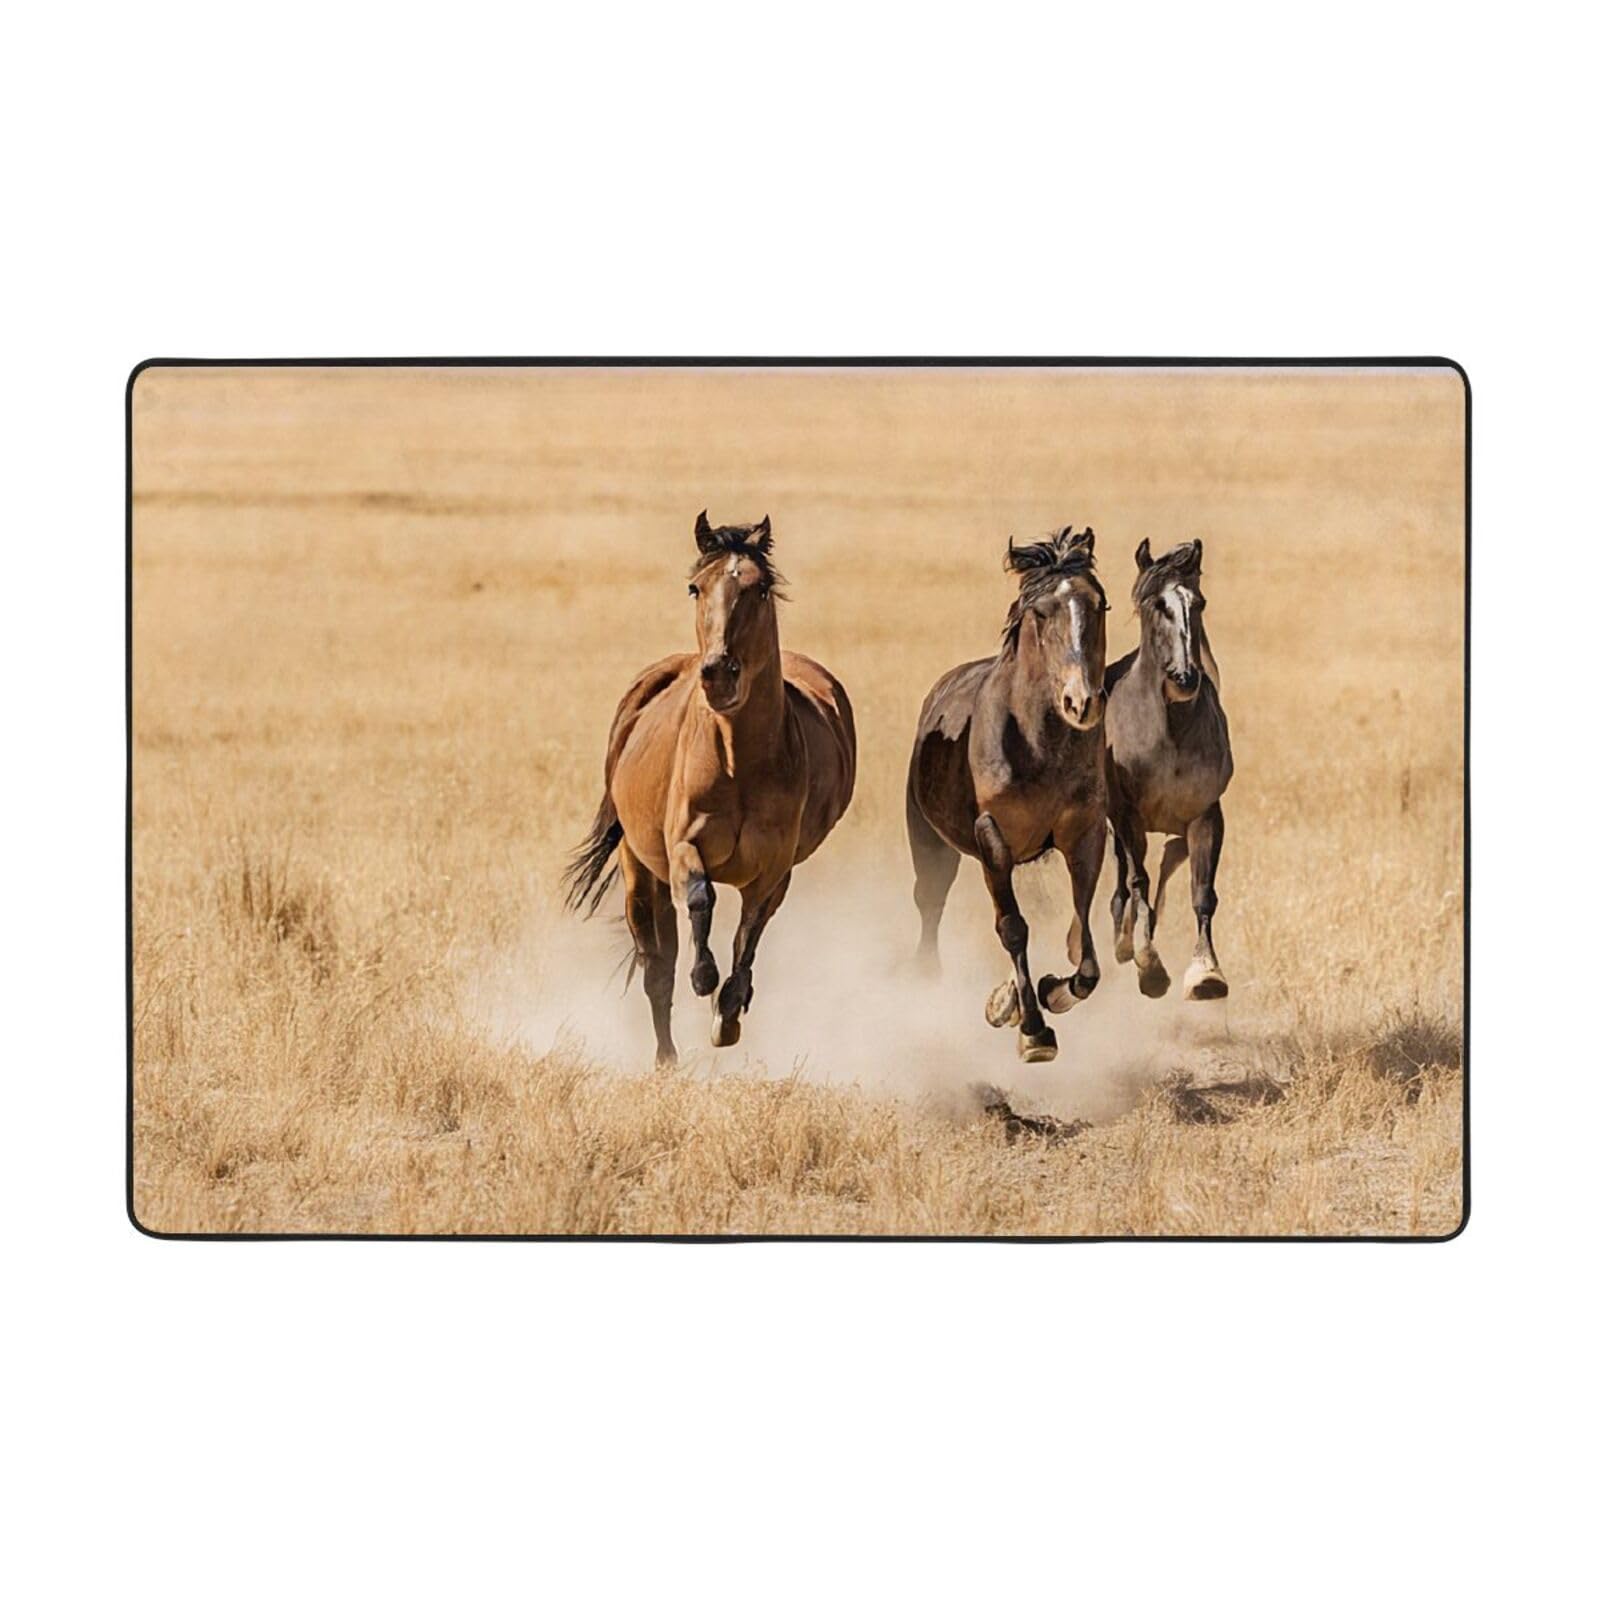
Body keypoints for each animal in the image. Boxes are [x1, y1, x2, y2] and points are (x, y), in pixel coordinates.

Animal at [562, 512, 856, 1065]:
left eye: (759, 588)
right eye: (695, 587)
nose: (719, 674)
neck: (738, 762)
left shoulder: (774, 868)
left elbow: (750, 931)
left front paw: (729, 1013)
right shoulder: (683, 848)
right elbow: (700, 899)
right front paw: (705, 978)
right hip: (640, 871)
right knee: (656, 965)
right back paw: (666, 1058)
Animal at [905, 527, 1110, 1064]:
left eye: (1099, 604)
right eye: (1041, 612)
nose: (1082, 702)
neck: (1039, 743)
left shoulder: (1085, 832)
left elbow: (1083, 943)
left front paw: (1050, 993)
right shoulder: (991, 837)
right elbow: (1013, 926)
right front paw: (1033, 1030)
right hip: (929, 840)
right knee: (929, 901)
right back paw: (929, 980)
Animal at [1104, 537, 1234, 1001]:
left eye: (1198, 603)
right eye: (1155, 604)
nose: (1184, 678)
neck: (1170, 732)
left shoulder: (1206, 815)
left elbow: (1203, 893)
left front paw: (1206, 975)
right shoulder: (1126, 814)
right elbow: (1137, 880)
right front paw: (1150, 966)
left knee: (1169, 858)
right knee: (1127, 876)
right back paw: (1126, 941)